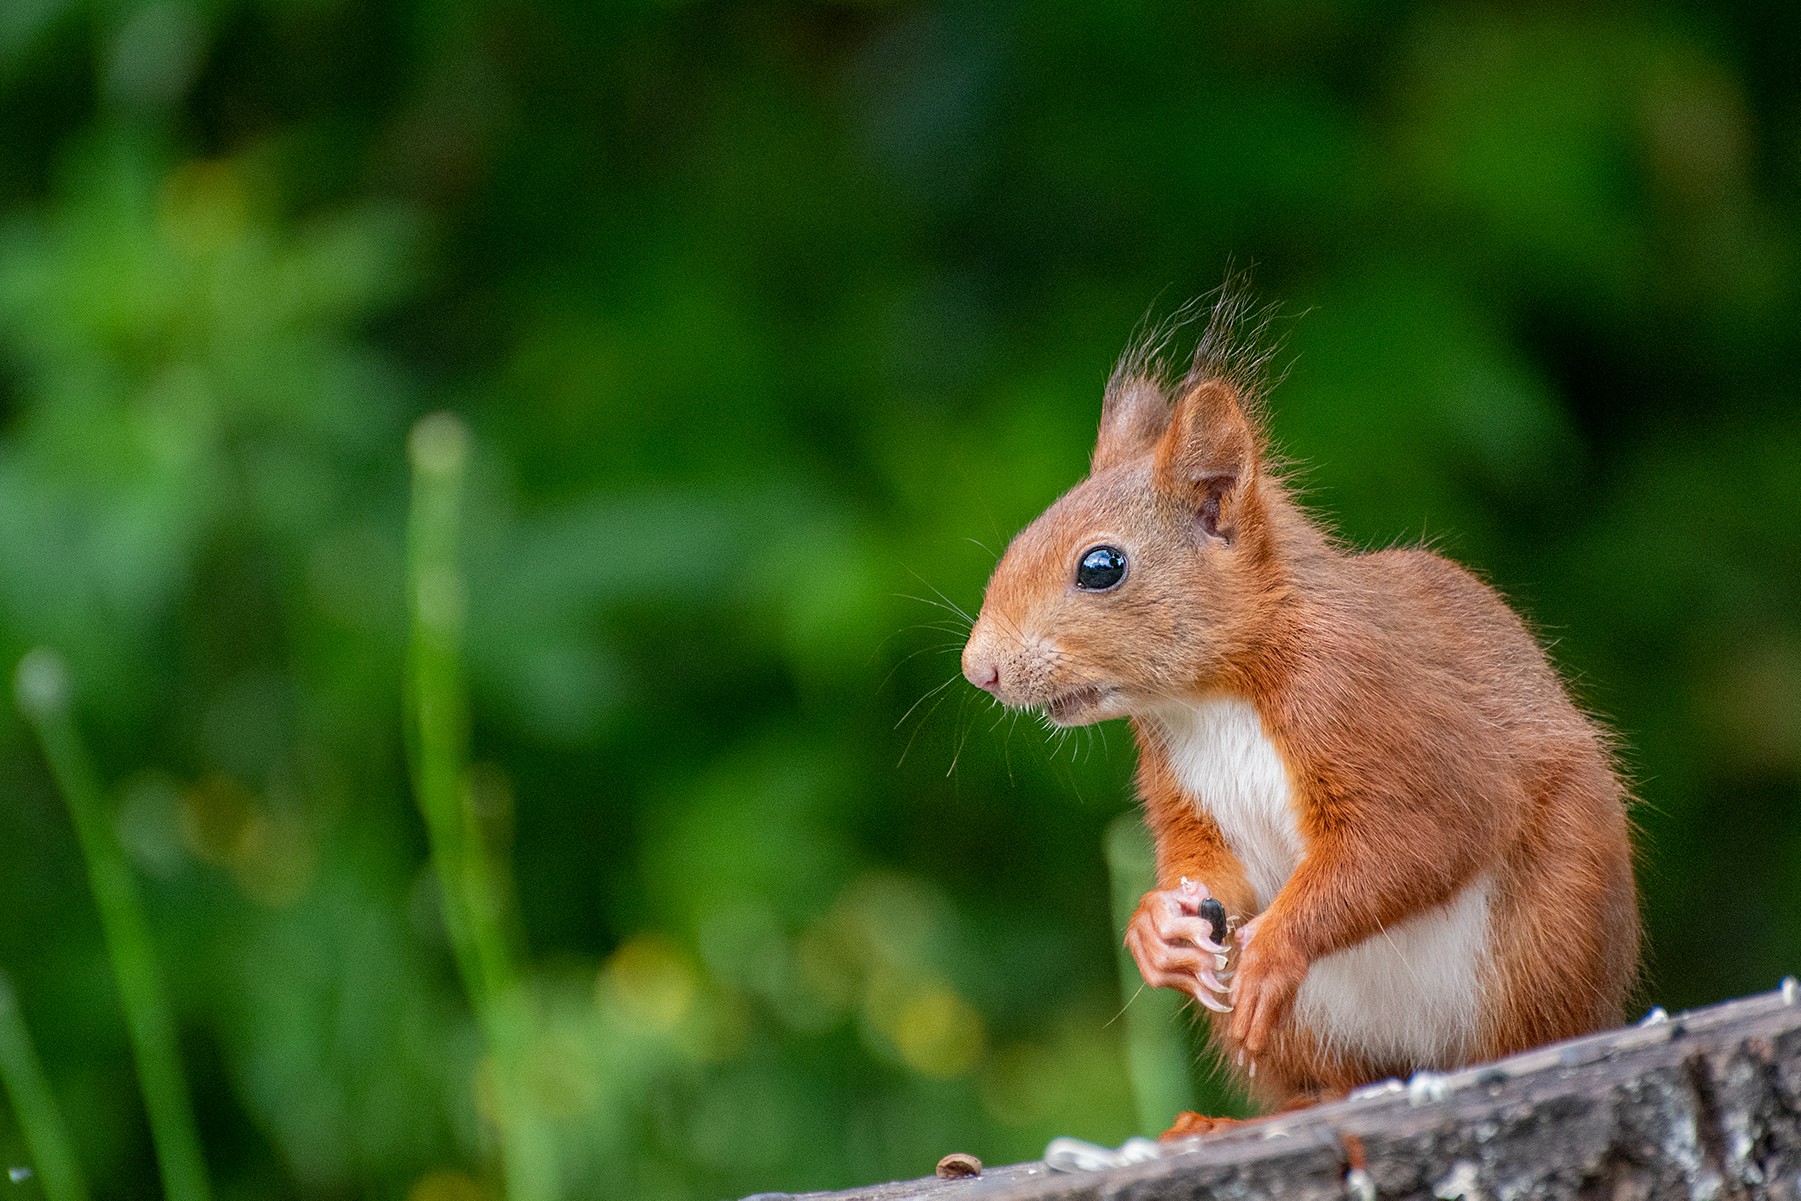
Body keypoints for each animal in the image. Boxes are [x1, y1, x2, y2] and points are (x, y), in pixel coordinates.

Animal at [965, 291, 1642, 1137]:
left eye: (1100, 566)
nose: (978, 668)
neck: (1212, 698)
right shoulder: (1176, 777)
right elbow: (1205, 861)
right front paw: (1154, 926)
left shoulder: (1366, 701)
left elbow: (1421, 833)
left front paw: (1275, 948)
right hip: (1307, 1032)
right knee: (1335, 1080)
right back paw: (1241, 1118)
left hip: (1549, 935)